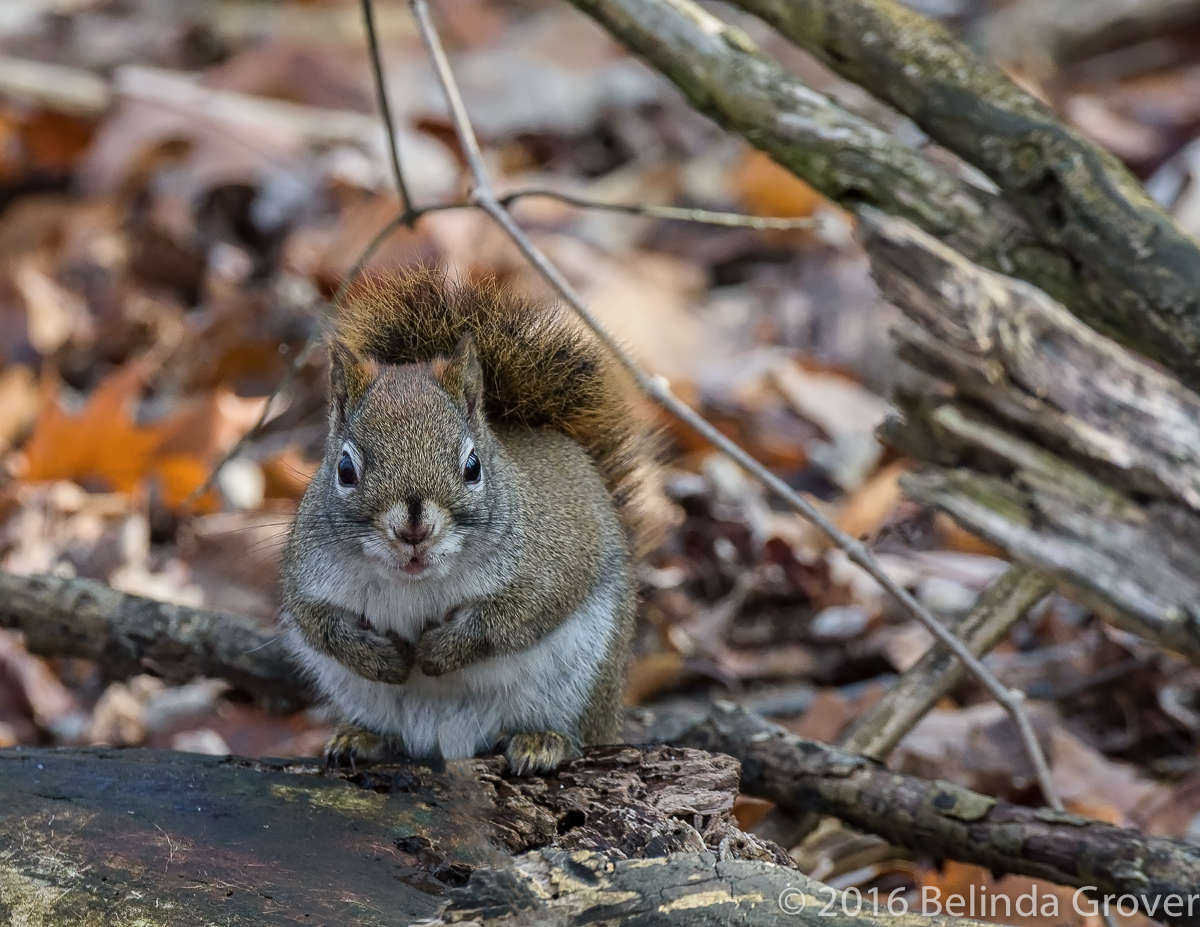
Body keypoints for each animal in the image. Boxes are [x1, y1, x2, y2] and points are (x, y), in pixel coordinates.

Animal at [280, 269, 647, 775]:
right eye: (345, 469)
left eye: (473, 466)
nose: (413, 529)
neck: (414, 581)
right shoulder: (307, 577)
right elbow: (320, 625)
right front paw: (383, 661)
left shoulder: (548, 566)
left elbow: (509, 619)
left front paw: (439, 651)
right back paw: (361, 737)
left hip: (582, 681)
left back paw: (543, 741)